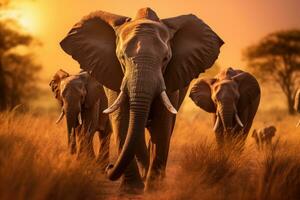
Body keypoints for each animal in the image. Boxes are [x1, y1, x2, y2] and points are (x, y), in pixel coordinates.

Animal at [59, 7, 223, 192]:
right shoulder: (113, 74)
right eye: (121, 58)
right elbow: (122, 120)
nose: (109, 167)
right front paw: (131, 189)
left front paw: (153, 188)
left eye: (166, 59)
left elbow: (162, 124)